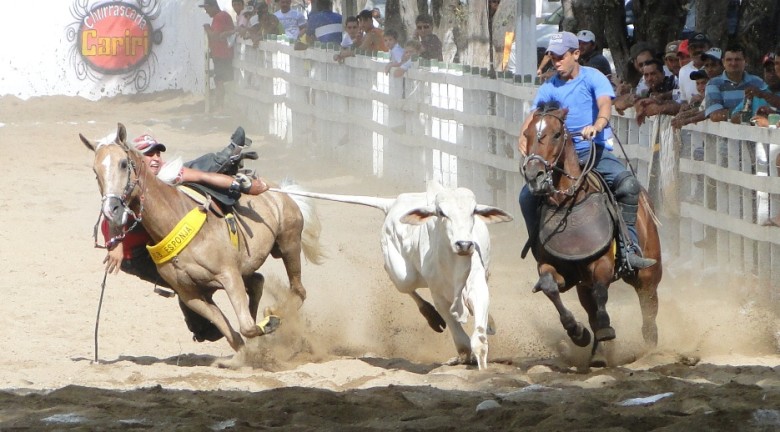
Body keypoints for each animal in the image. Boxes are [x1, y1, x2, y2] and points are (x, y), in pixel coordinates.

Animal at [278, 181, 516, 370]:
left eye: (473, 211)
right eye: (441, 212)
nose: (464, 244)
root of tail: (393, 203)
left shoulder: (478, 286)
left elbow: (479, 339)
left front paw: (482, 367)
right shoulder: (439, 294)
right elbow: (458, 331)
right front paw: (465, 355)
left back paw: (488, 323)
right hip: (402, 274)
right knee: (404, 284)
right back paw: (431, 316)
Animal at [520, 106, 660, 366]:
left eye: (556, 134)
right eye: (528, 134)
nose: (534, 175)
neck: (567, 203)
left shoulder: (602, 264)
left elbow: (601, 291)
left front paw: (605, 328)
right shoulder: (557, 269)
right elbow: (550, 287)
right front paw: (577, 332)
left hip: (648, 273)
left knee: (648, 306)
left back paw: (650, 347)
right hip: (582, 286)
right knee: (592, 309)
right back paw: (598, 354)